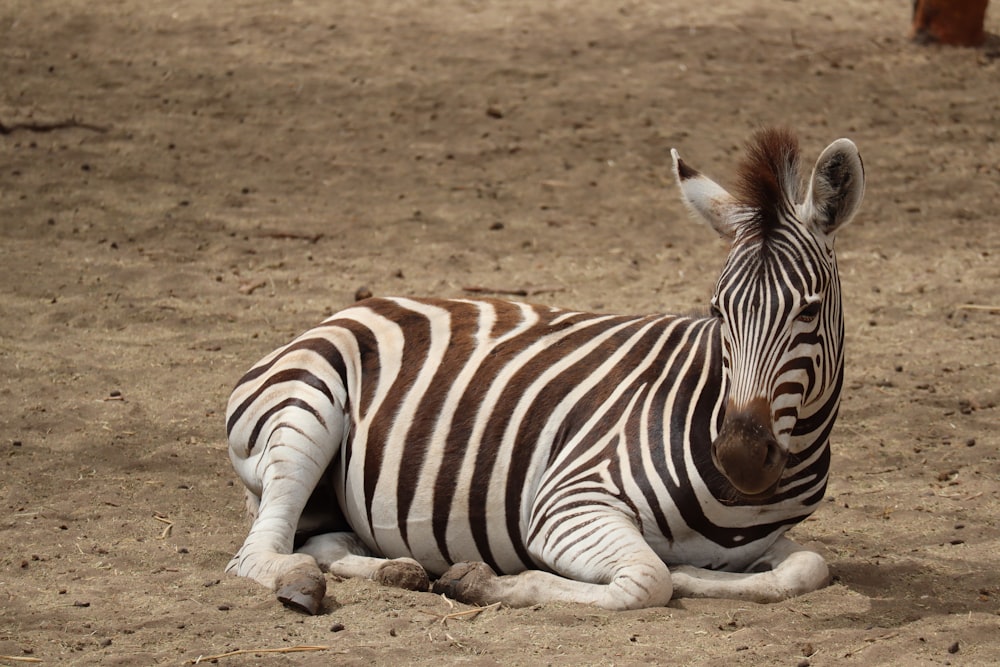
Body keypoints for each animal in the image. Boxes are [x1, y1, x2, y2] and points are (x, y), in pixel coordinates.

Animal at [223, 128, 864, 612]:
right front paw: (485, 581)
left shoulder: (770, 541)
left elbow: (808, 566)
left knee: (323, 542)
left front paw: (695, 574)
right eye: (717, 310)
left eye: (808, 309)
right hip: (305, 415)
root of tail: (359, 304)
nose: (738, 458)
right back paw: (302, 584)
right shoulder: (566, 505)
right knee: (258, 554)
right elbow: (648, 580)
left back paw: (396, 570)